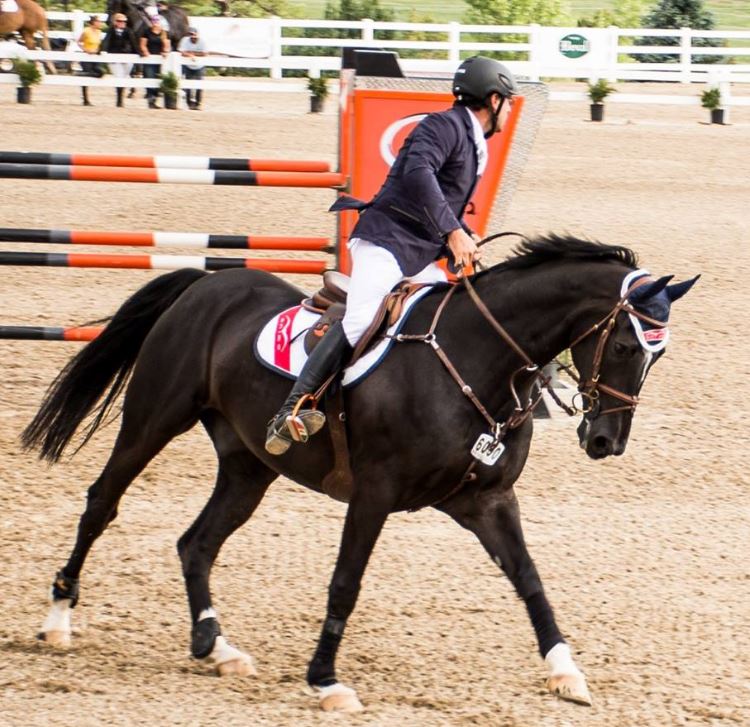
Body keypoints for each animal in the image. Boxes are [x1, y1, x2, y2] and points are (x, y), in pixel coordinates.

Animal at [23, 235, 698, 712]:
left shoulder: (487, 501)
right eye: (625, 346)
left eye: (658, 354)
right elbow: (345, 582)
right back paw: (58, 620)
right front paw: (325, 680)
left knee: (197, 543)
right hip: (154, 421)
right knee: (102, 503)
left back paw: (218, 648)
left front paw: (565, 671)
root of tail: (206, 284)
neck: (481, 362)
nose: (606, 441)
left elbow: (531, 581)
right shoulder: (373, 494)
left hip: (248, 467)